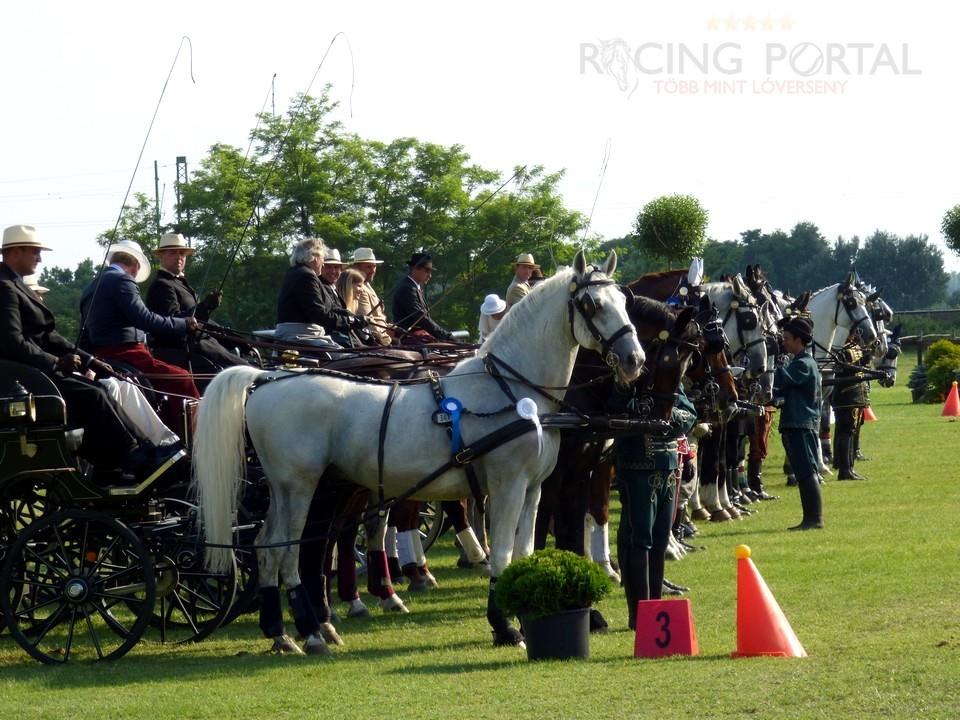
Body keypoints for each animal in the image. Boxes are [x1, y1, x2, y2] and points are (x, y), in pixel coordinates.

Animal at [193, 250, 644, 656]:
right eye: (592, 304)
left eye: (625, 302)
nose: (634, 359)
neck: (512, 389)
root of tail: (268, 378)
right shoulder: (507, 484)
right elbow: (501, 555)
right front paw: (505, 626)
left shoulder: (533, 487)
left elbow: (525, 553)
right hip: (302, 487)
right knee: (287, 550)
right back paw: (311, 631)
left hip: (297, 489)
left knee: (273, 548)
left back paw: (283, 631)